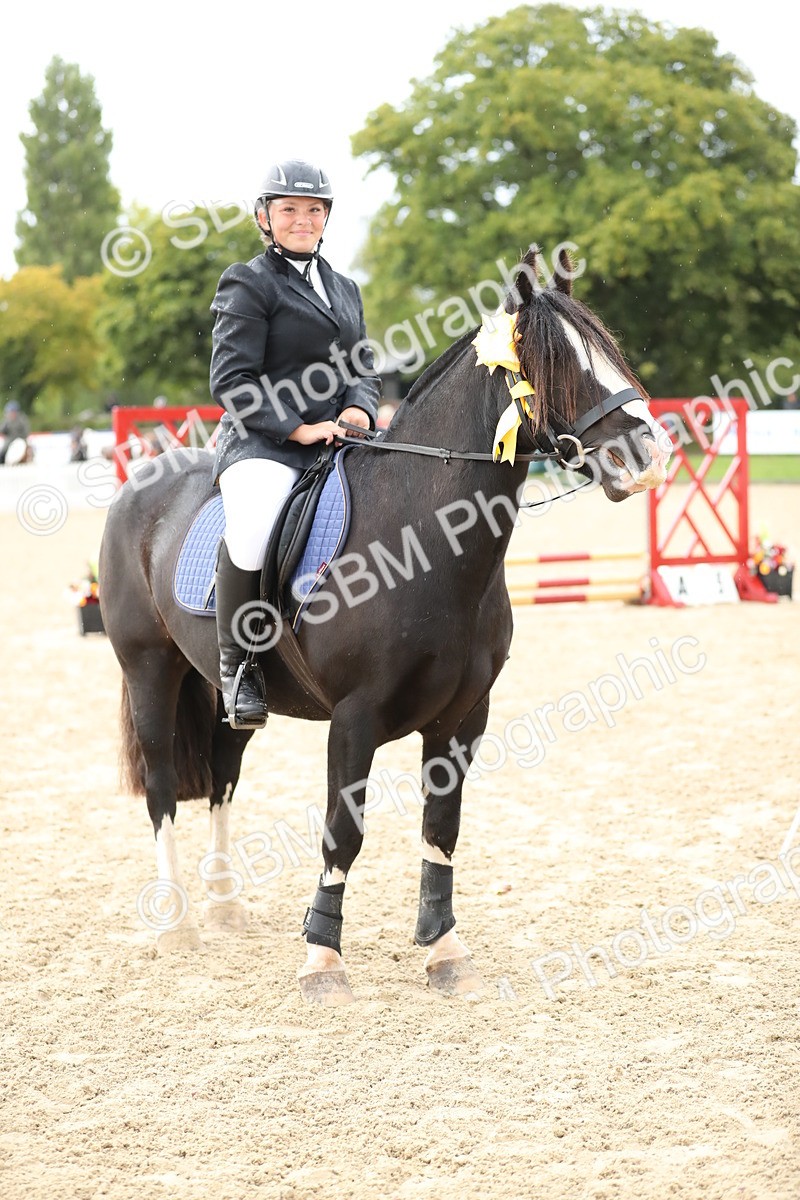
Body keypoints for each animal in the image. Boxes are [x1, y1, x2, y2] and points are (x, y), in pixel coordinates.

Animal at [98, 246, 669, 1005]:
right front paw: (322, 959)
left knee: (222, 773)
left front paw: (445, 949)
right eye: (552, 363)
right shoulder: (355, 716)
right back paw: (179, 923)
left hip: (226, 692)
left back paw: (224, 906)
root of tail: (143, 479)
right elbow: (343, 832)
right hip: (149, 669)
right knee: (163, 782)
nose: (648, 459)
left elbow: (441, 829)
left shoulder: (464, 716)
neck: (422, 539)